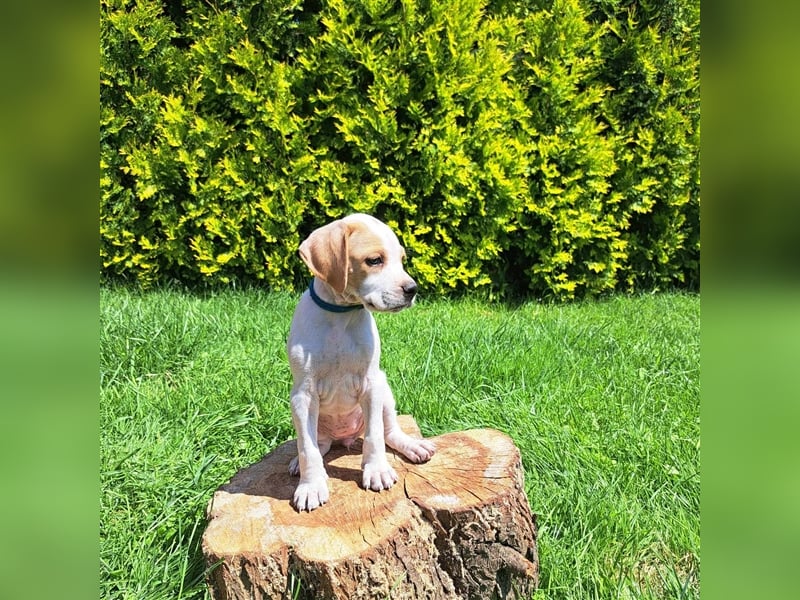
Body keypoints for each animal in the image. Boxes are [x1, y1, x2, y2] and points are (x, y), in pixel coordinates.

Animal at [288, 214, 434, 510]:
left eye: (402, 259)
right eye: (375, 260)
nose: (412, 289)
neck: (341, 316)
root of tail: (342, 437)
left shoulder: (371, 384)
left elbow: (375, 436)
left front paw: (376, 470)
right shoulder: (303, 395)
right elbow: (307, 448)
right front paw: (311, 486)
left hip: (385, 391)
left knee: (389, 431)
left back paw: (413, 445)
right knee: (316, 445)